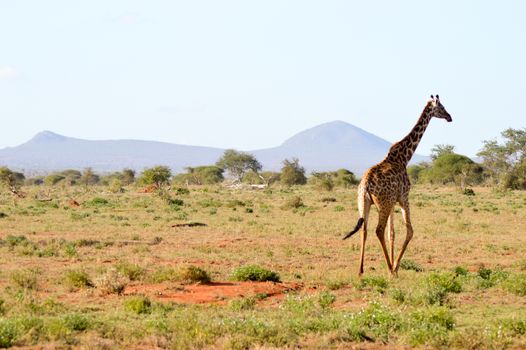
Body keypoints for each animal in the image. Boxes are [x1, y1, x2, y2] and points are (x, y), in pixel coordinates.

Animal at [344, 95, 452, 276]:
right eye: (442, 107)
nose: (450, 117)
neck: (403, 157)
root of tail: (366, 184)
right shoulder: (403, 198)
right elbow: (409, 231)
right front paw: (395, 268)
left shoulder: (393, 201)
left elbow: (392, 233)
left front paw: (394, 266)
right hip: (383, 204)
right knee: (378, 230)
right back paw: (389, 268)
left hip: (365, 203)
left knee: (364, 230)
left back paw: (360, 270)